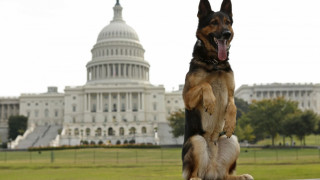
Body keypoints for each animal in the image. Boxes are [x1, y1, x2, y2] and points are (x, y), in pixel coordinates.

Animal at [182, 0, 252, 180]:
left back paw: (241, 176)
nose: (226, 34)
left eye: (228, 22)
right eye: (213, 22)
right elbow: (205, 85)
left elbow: (233, 106)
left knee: (226, 175)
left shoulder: (232, 92)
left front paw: (230, 122)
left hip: (232, 141)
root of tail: (210, 171)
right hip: (197, 140)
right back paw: (196, 177)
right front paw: (210, 102)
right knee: (193, 175)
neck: (215, 63)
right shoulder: (187, 97)